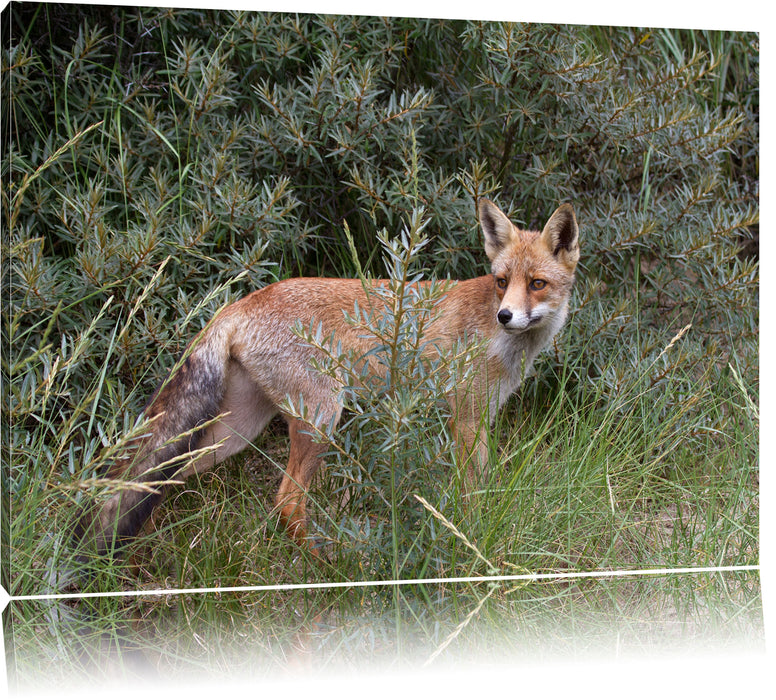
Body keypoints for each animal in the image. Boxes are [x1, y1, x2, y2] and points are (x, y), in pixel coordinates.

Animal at [73, 197, 580, 564]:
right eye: (501, 281)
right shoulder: (468, 419)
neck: (501, 343)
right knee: (285, 502)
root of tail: (241, 302)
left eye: (536, 284)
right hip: (321, 418)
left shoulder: (475, 418)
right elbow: (473, 494)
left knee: (157, 480)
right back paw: (325, 563)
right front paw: (471, 539)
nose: (505, 316)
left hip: (237, 432)